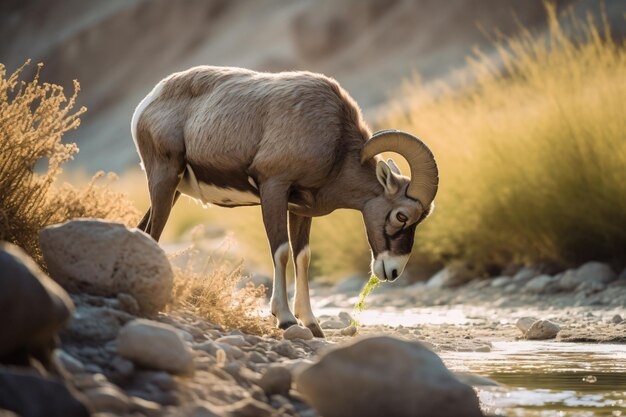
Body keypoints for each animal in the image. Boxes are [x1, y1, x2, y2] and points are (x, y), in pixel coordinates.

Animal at [132, 66, 436, 338]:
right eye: (401, 216)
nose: (393, 271)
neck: (334, 144)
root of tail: (147, 104)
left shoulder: (300, 210)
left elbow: (303, 257)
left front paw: (312, 324)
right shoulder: (274, 189)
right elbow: (280, 252)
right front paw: (286, 319)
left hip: (173, 191)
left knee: (143, 230)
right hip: (165, 179)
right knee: (153, 233)